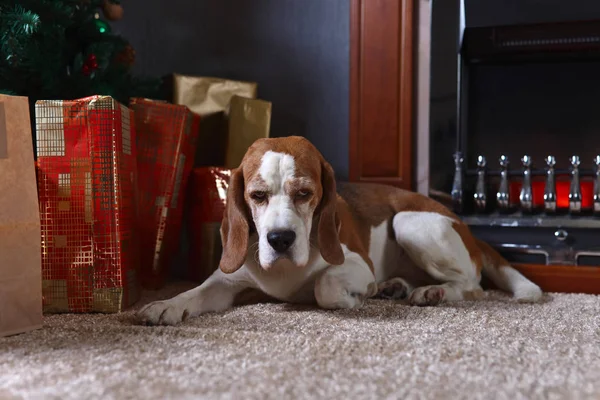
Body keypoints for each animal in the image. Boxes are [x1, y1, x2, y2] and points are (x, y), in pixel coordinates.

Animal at [137, 137, 544, 324]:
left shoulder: (356, 264)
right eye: (257, 195)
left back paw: (432, 292)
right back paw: (397, 286)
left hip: (408, 222)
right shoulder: (226, 282)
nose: (280, 239)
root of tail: (466, 226)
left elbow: (325, 285)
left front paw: (354, 297)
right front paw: (165, 304)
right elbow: (195, 292)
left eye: (305, 193)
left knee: (473, 286)